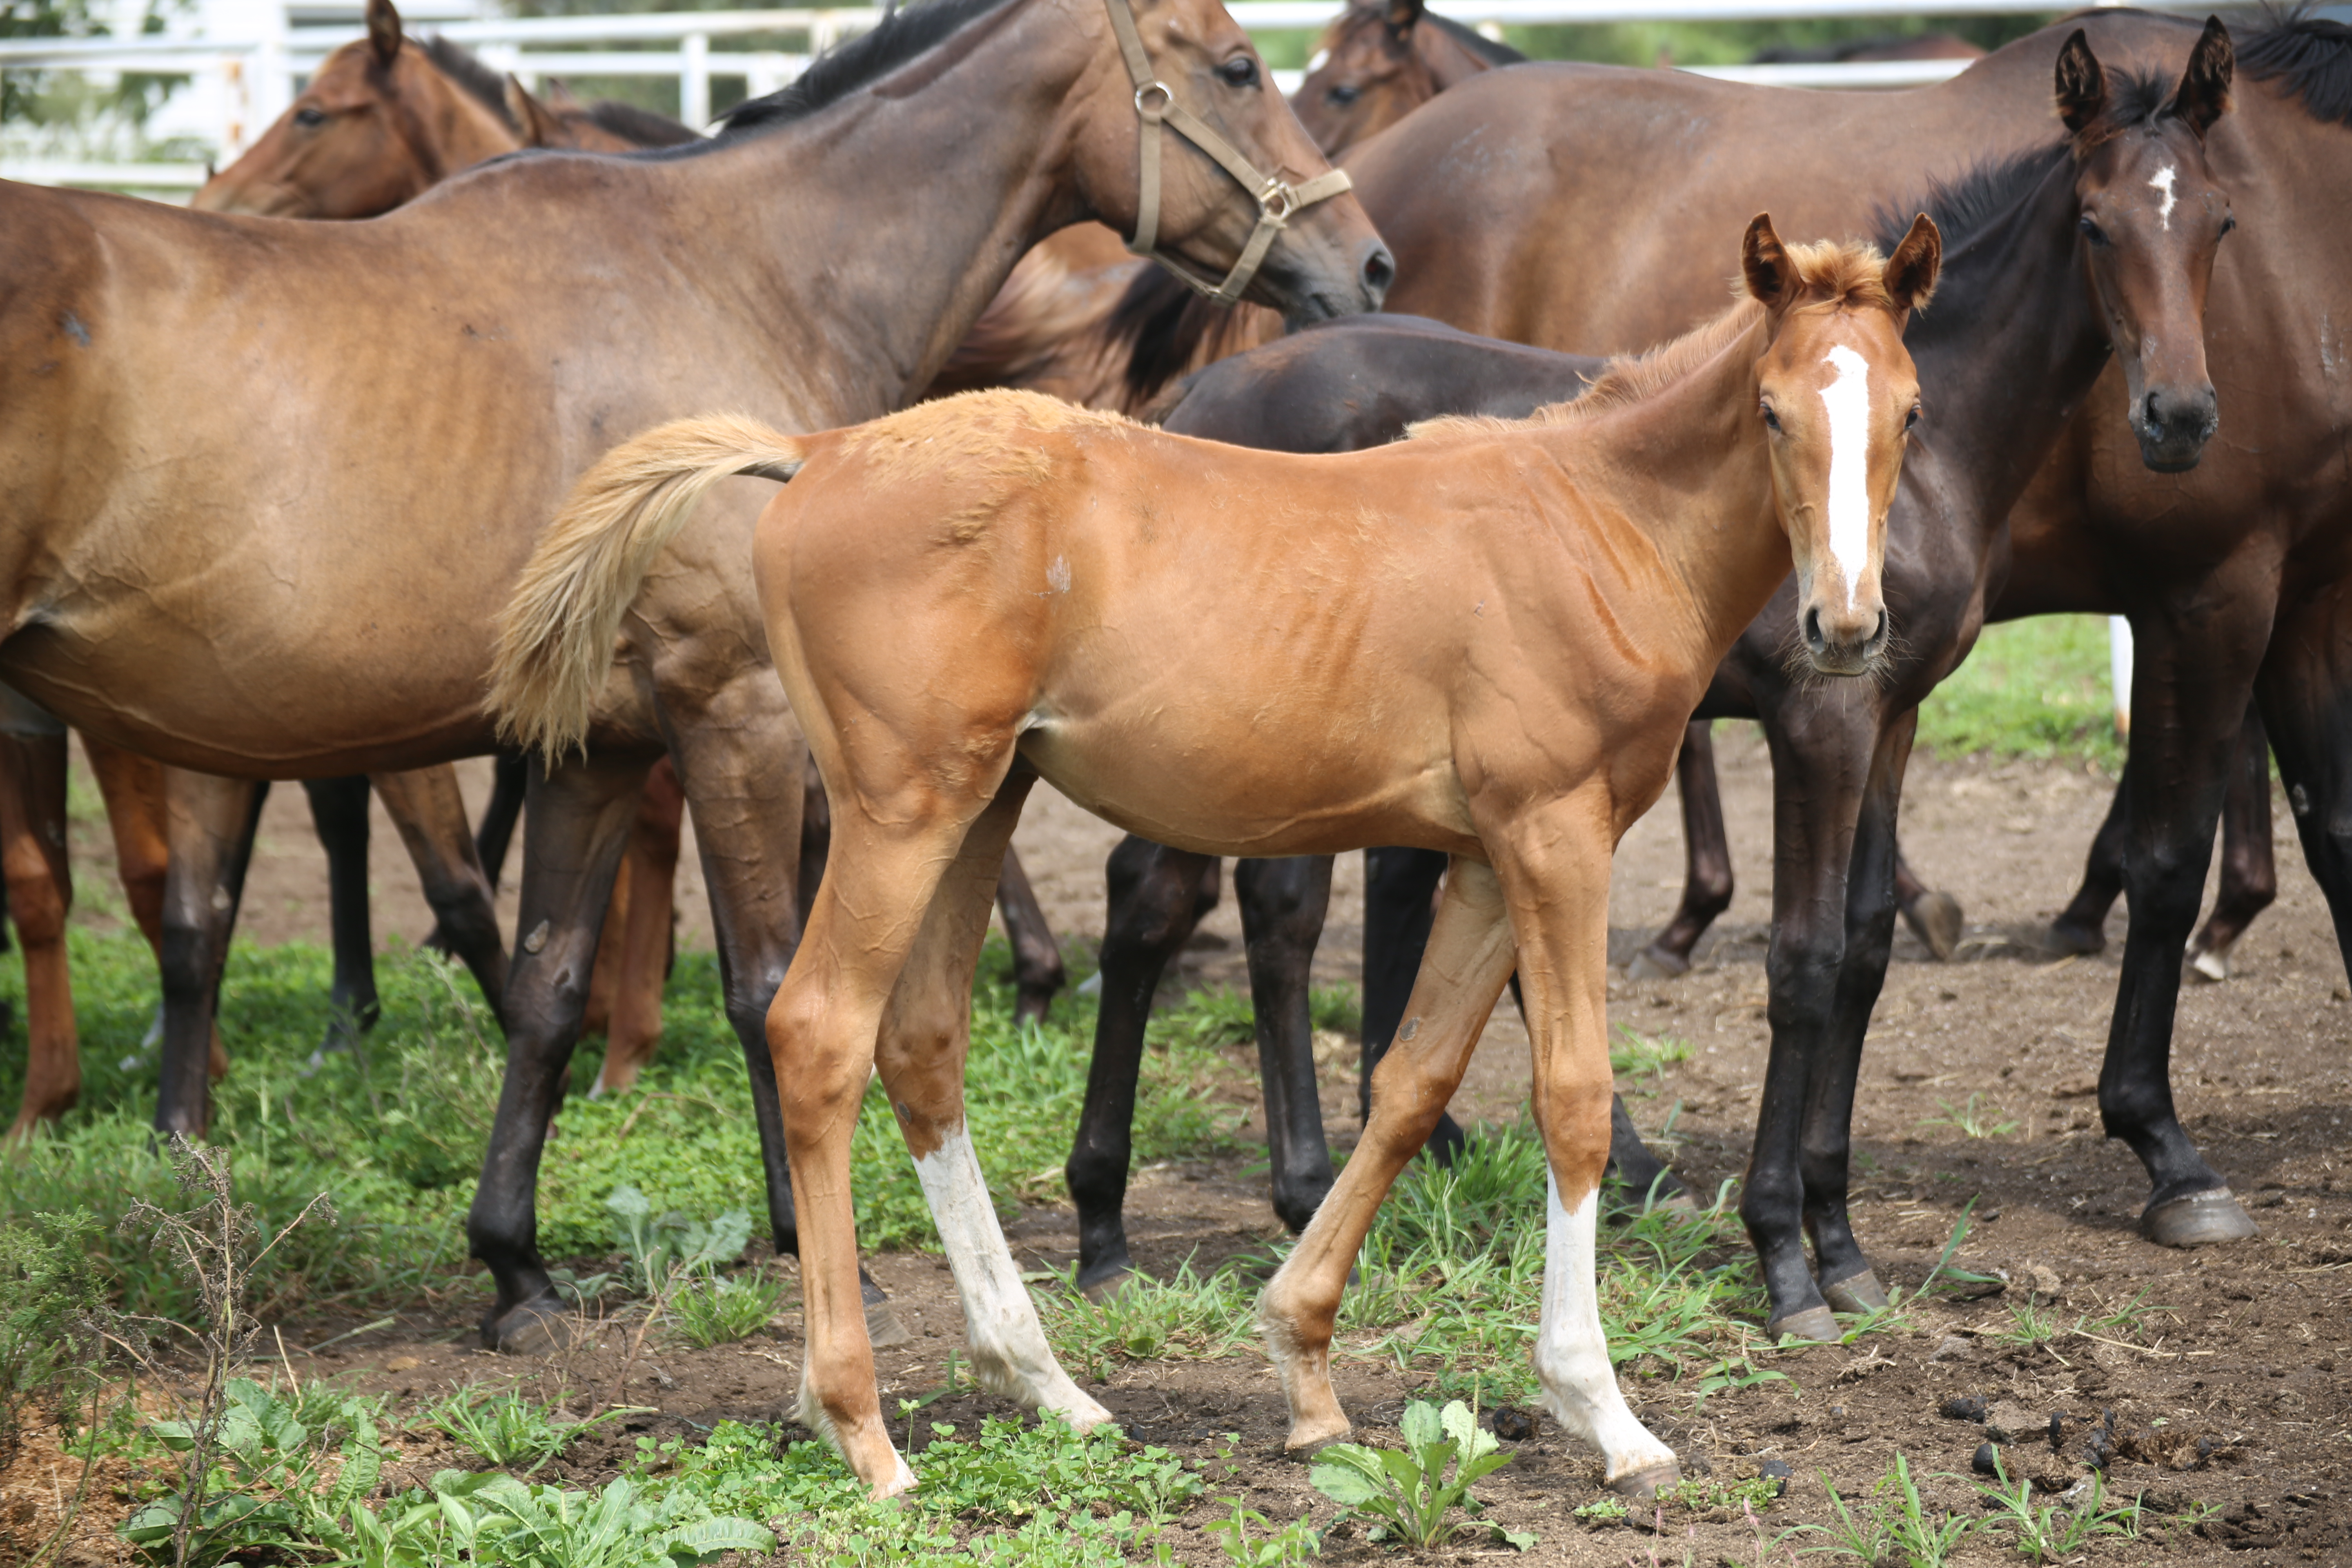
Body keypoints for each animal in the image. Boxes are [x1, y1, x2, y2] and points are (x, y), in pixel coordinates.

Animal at [0, 0, 1383, 1354]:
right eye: (1240, 66)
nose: (1366, 261)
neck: (734, 274)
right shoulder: (735, 710)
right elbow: (770, 985)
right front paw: (824, 1259)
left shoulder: (595, 743)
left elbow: (549, 990)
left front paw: (516, 1269)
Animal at [501, 217, 1947, 1495]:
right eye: (1772, 411)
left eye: (1912, 414)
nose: (1846, 626)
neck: (1597, 520)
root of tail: (815, 451)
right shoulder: (1555, 835)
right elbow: (1575, 1100)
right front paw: (1605, 1412)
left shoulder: (1487, 858)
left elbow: (1411, 1083)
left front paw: (1305, 1370)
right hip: (902, 807)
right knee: (818, 1032)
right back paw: (861, 1428)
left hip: (981, 804)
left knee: (922, 1045)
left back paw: (1048, 1385)